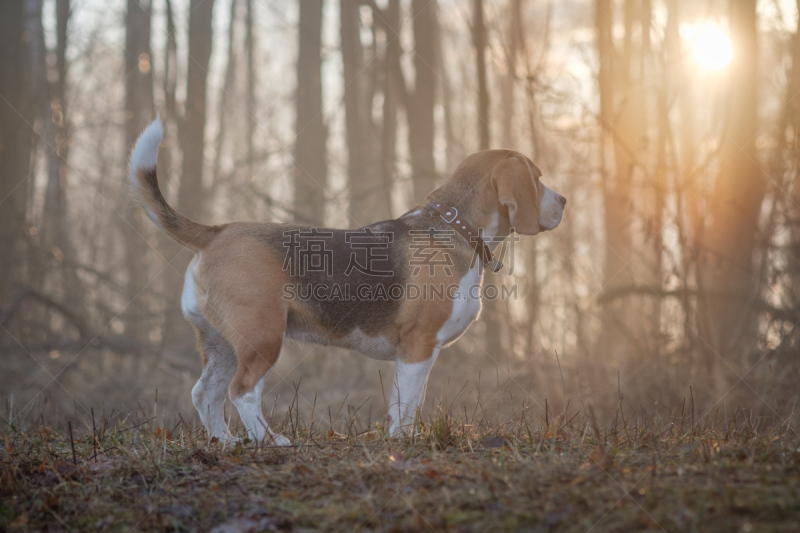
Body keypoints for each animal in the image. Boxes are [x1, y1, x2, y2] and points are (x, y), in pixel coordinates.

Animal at [128, 117, 564, 444]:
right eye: (537, 178)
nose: (564, 202)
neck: (455, 227)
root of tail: (217, 231)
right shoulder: (418, 346)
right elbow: (405, 404)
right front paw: (401, 442)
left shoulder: (422, 353)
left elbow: (410, 402)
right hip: (262, 336)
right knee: (242, 392)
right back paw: (270, 440)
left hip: (221, 342)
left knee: (205, 394)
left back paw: (225, 442)